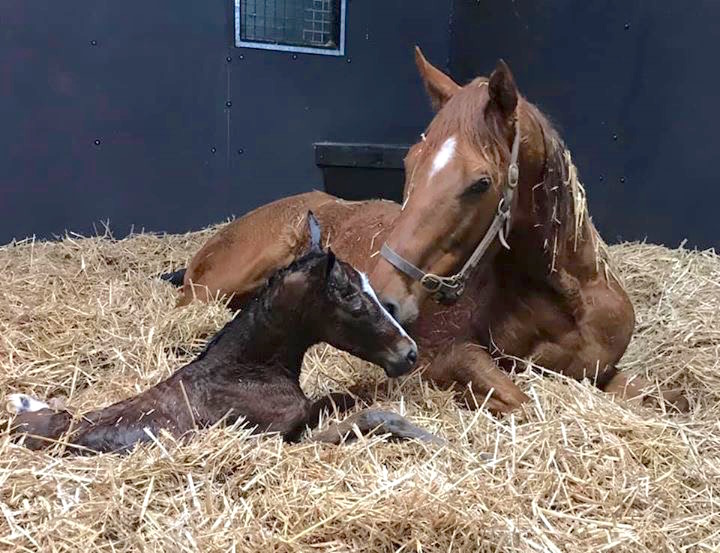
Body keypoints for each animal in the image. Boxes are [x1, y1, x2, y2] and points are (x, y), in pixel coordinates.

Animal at [9, 212, 438, 452]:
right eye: (350, 298)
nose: (409, 352)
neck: (242, 371)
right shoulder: (282, 439)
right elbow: (370, 418)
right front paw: (434, 439)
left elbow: (345, 399)